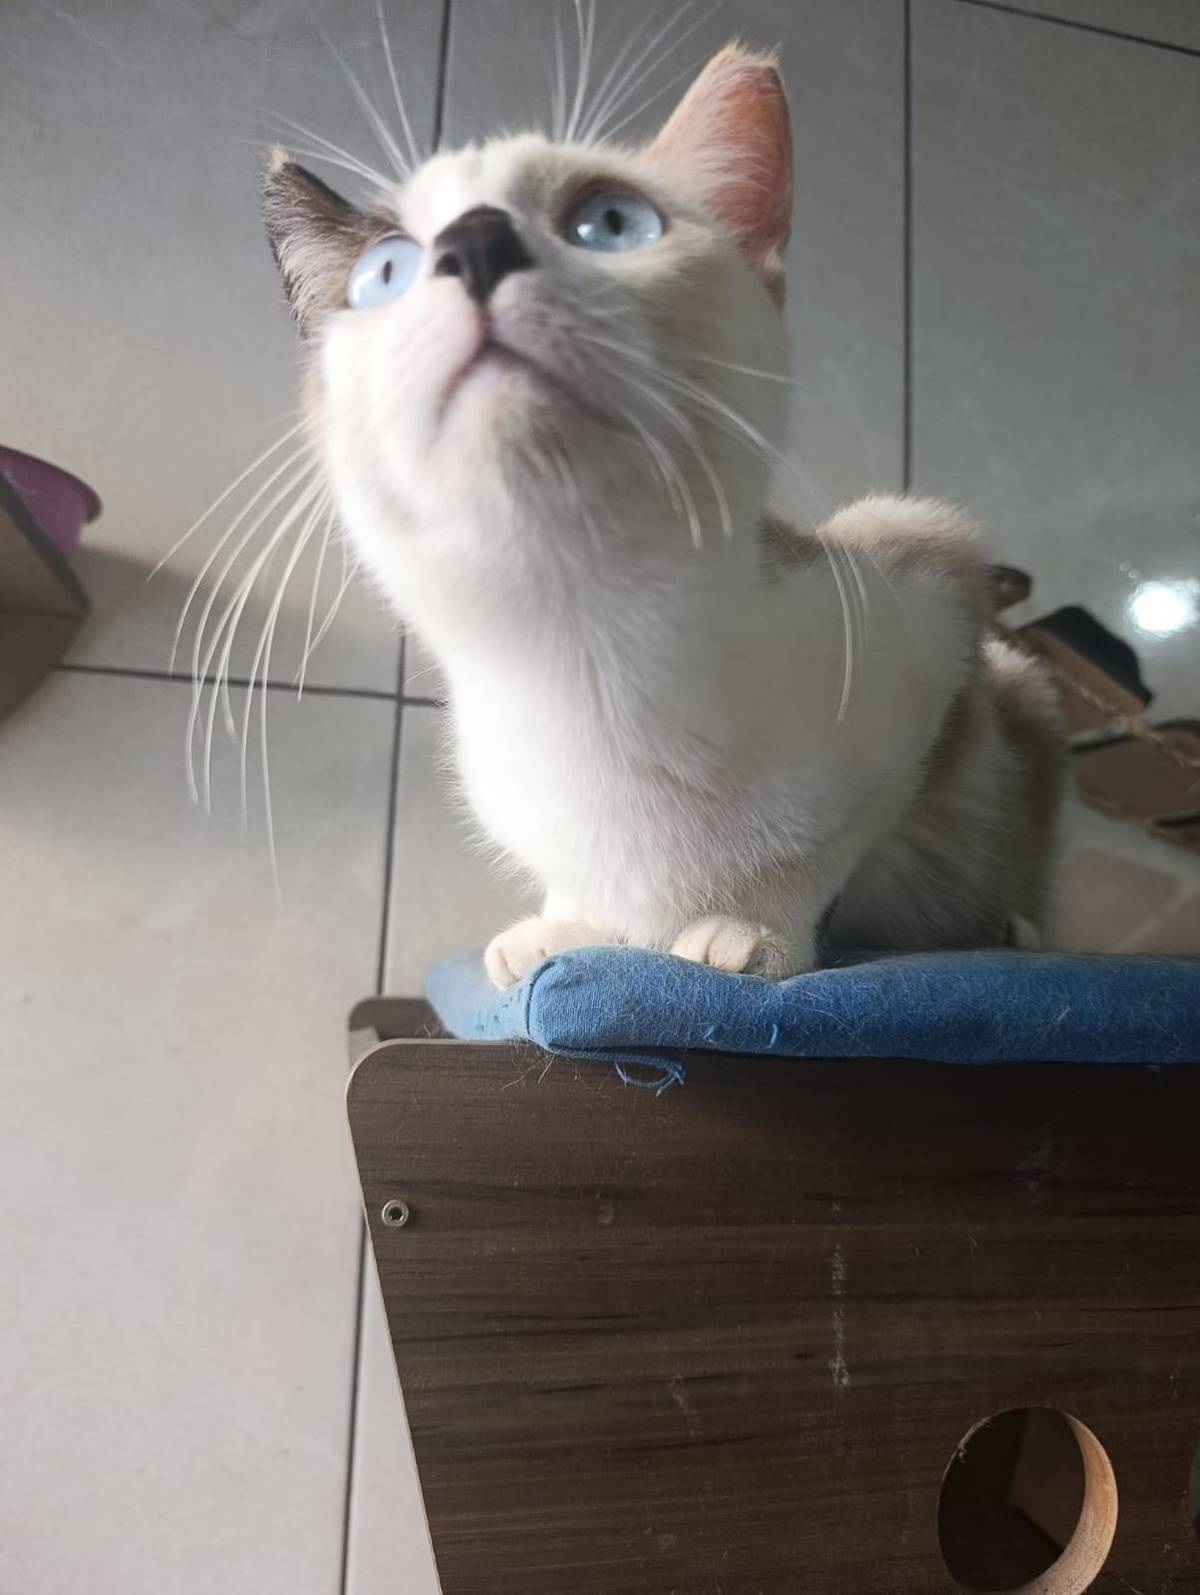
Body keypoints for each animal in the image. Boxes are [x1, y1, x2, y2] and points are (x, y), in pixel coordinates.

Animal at [261, 41, 1065, 989]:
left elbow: (831, 840)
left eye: (611, 224)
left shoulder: (928, 576)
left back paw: (1016, 929)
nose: (475, 241)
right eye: (385, 272)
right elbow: (577, 884)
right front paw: (566, 930)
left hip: (1021, 679)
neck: (583, 647)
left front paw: (746, 931)